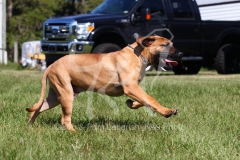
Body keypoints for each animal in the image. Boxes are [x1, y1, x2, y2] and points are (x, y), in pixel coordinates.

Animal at [26, 35, 183, 131]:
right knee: (64, 120)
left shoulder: (133, 89)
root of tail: (51, 66)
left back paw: (30, 126)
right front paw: (166, 111)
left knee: (38, 107)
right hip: (66, 94)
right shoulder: (131, 87)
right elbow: (151, 99)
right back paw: (76, 133)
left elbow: (144, 100)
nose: (181, 54)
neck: (138, 55)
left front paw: (131, 104)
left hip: (57, 95)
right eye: (166, 45)